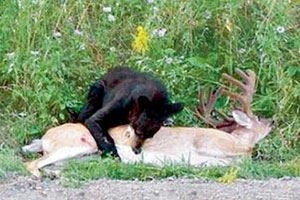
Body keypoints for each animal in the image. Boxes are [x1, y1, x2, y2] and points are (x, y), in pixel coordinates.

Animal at [22, 69, 274, 178]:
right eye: (258, 118)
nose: (272, 120)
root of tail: (44, 138)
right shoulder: (210, 142)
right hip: (80, 144)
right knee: (32, 164)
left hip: (84, 155)